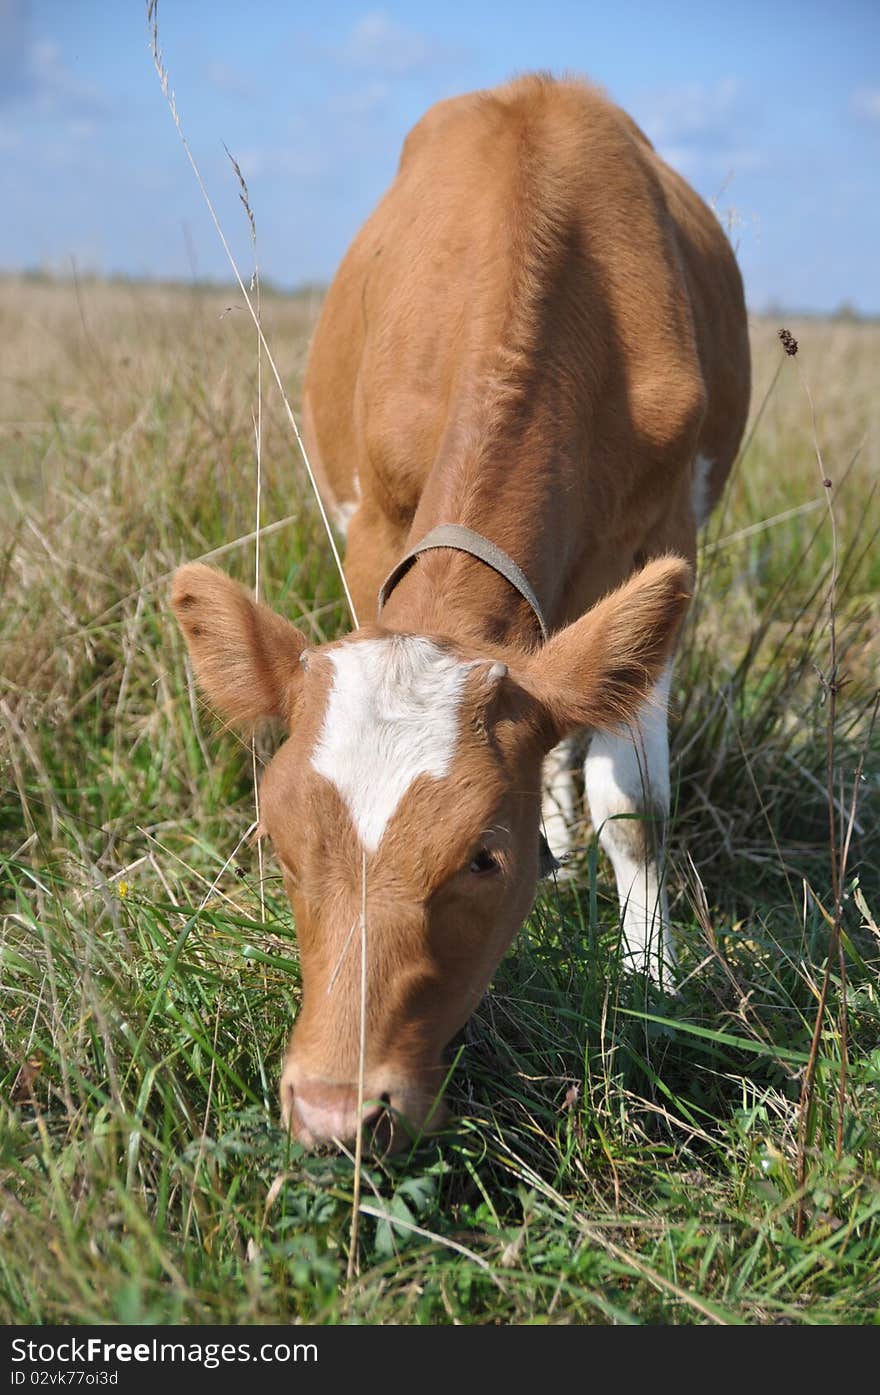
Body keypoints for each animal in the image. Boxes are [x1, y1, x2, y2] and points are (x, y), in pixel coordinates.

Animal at [172, 70, 753, 1149]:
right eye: (279, 843)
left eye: (484, 857)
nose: (334, 1110)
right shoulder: (372, 529)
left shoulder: (662, 542)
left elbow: (635, 803)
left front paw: (649, 975)